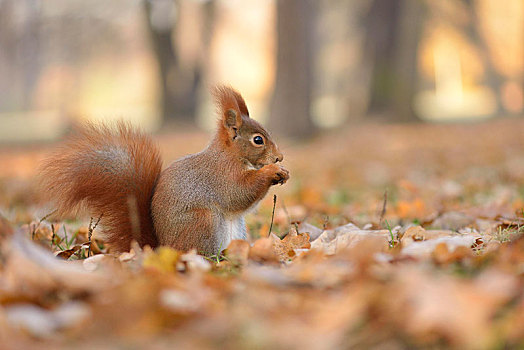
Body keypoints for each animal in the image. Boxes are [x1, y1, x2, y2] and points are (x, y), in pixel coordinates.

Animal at [39, 85, 288, 254]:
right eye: (258, 140)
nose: (279, 156)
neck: (231, 155)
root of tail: (164, 250)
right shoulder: (221, 176)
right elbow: (239, 193)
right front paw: (271, 172)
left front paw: (282, 171)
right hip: (202, 222)